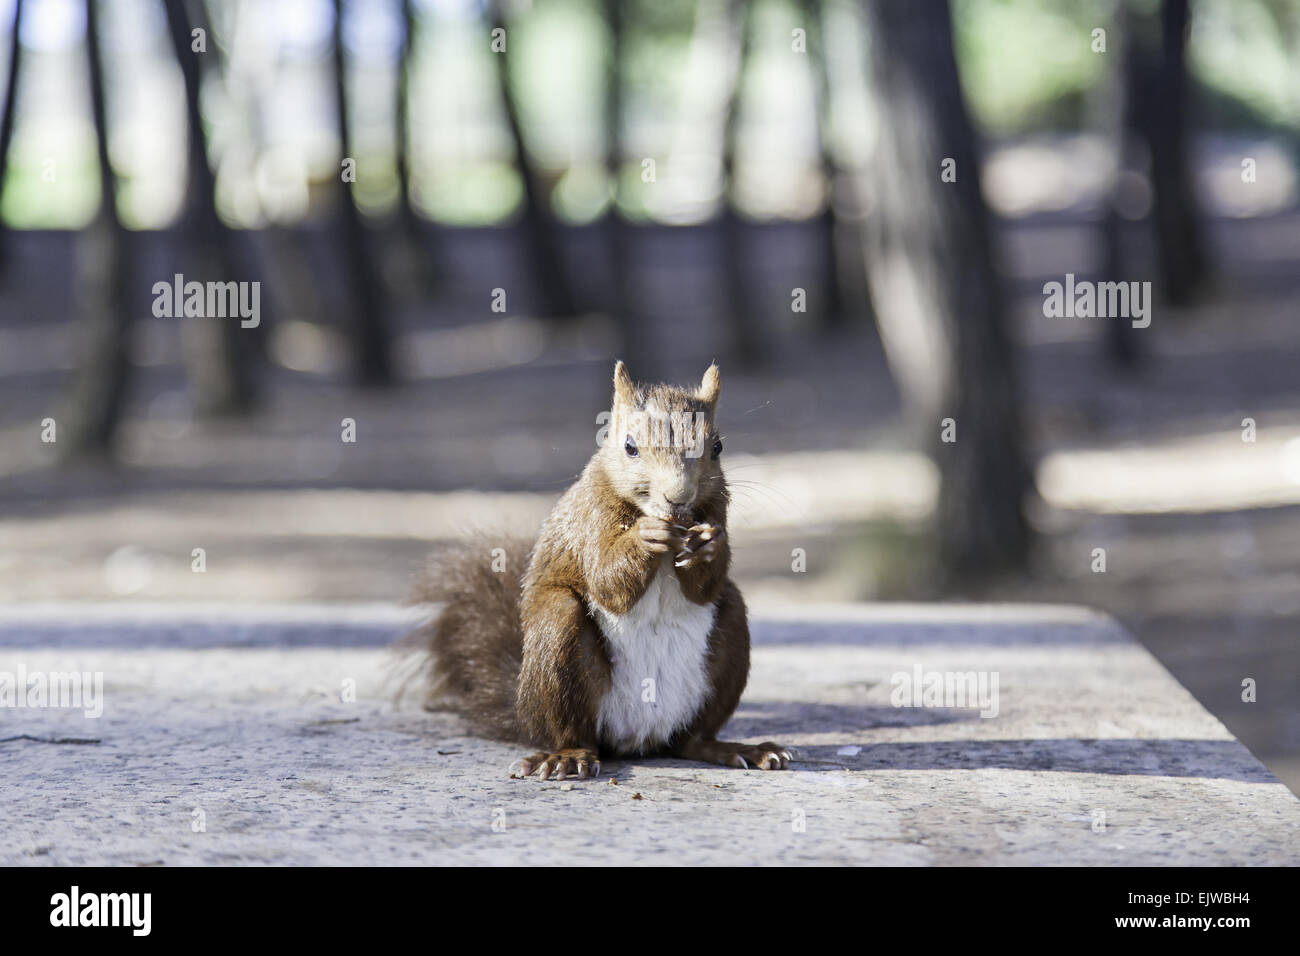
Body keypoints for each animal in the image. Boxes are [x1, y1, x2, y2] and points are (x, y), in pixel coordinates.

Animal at [402, 360, 791, 780]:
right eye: (629, 446)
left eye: (717, 447)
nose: (678, 497)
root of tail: (638, 739)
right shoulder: (593, 516)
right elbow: (607, 581)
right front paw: (644, 537)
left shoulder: (717, 507)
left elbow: (705, 586)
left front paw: (709, 545)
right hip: (557, 639)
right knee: (574, 729)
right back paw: (566, 756)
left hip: (730, 632)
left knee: (692, 738)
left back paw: (737, 749)